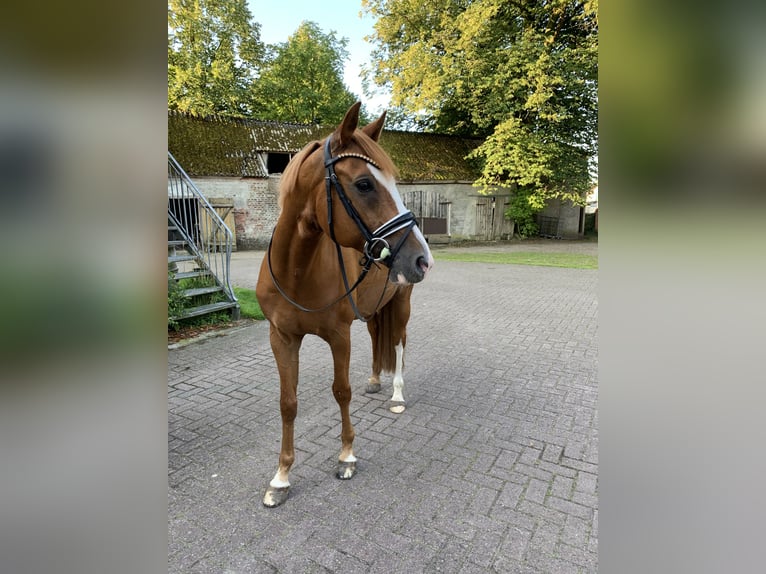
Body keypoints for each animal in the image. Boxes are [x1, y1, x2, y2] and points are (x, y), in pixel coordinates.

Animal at [258, 103, 436, 508]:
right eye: (364, 184)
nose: (422, 259)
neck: (297, 271)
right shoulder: (282, 338)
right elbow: (287, 402)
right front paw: (281, 477)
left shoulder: (338, 336)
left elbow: (341, 392)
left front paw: (346, 457)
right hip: (371, 310)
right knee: (376, 337)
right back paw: (374, 380)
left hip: (401, 305)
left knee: (399, 343)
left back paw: (396, 394)